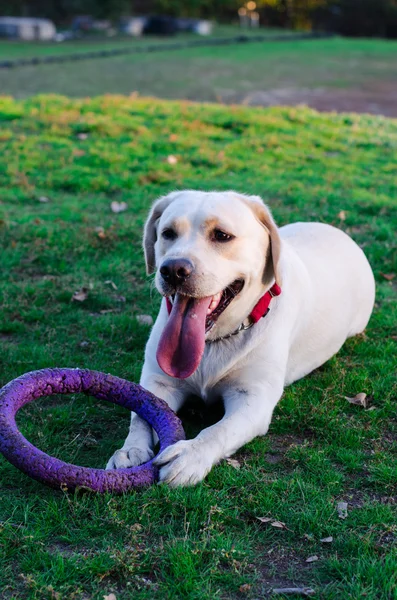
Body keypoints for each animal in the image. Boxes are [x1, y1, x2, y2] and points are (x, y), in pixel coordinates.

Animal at [106, 192, 374, 488]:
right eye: (167, 233)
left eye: (222, 235)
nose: (173, 270)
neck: (215, 340)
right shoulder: (159, 381)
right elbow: (141, 414)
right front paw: (130, 450)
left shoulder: (252, 398)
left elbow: (219, 429)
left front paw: (190, 455)